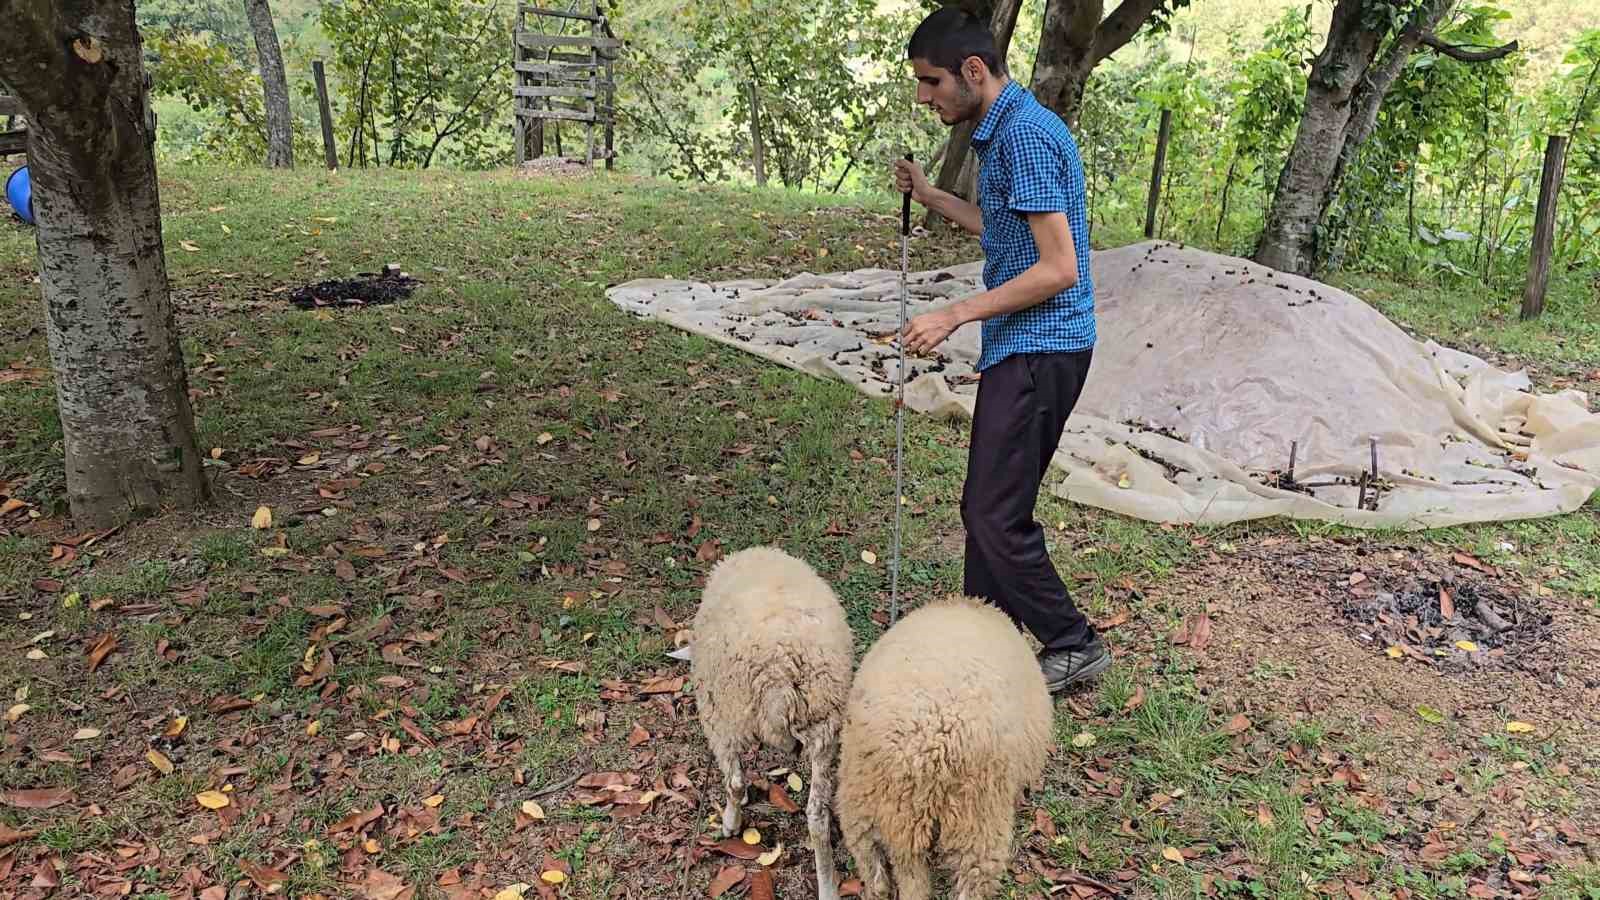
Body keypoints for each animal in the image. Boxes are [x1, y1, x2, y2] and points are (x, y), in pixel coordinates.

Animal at [691, 544, 857, 896]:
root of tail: (778, 675)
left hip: (724, 718)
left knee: (735, 782)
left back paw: (731, 823)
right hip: (825, 725)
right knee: (817, 815)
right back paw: (828, 887)